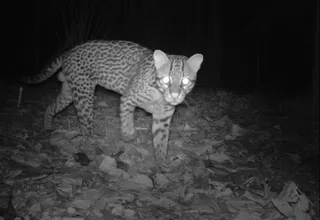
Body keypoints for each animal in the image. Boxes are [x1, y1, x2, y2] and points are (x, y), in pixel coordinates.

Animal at [22, 40, 204, 167]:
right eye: (166, 79)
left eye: (185, 81)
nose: (174, 96)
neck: (159, 95)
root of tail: (69, 51)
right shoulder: (127, 99)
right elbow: (126, 119)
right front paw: (129, 136)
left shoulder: (163, 119)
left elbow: (161, 142)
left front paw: (162, 165)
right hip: (84, 94)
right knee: (85, 126)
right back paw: (91, 146)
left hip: (68, 91)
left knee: (51, 106)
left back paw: (47, 126)